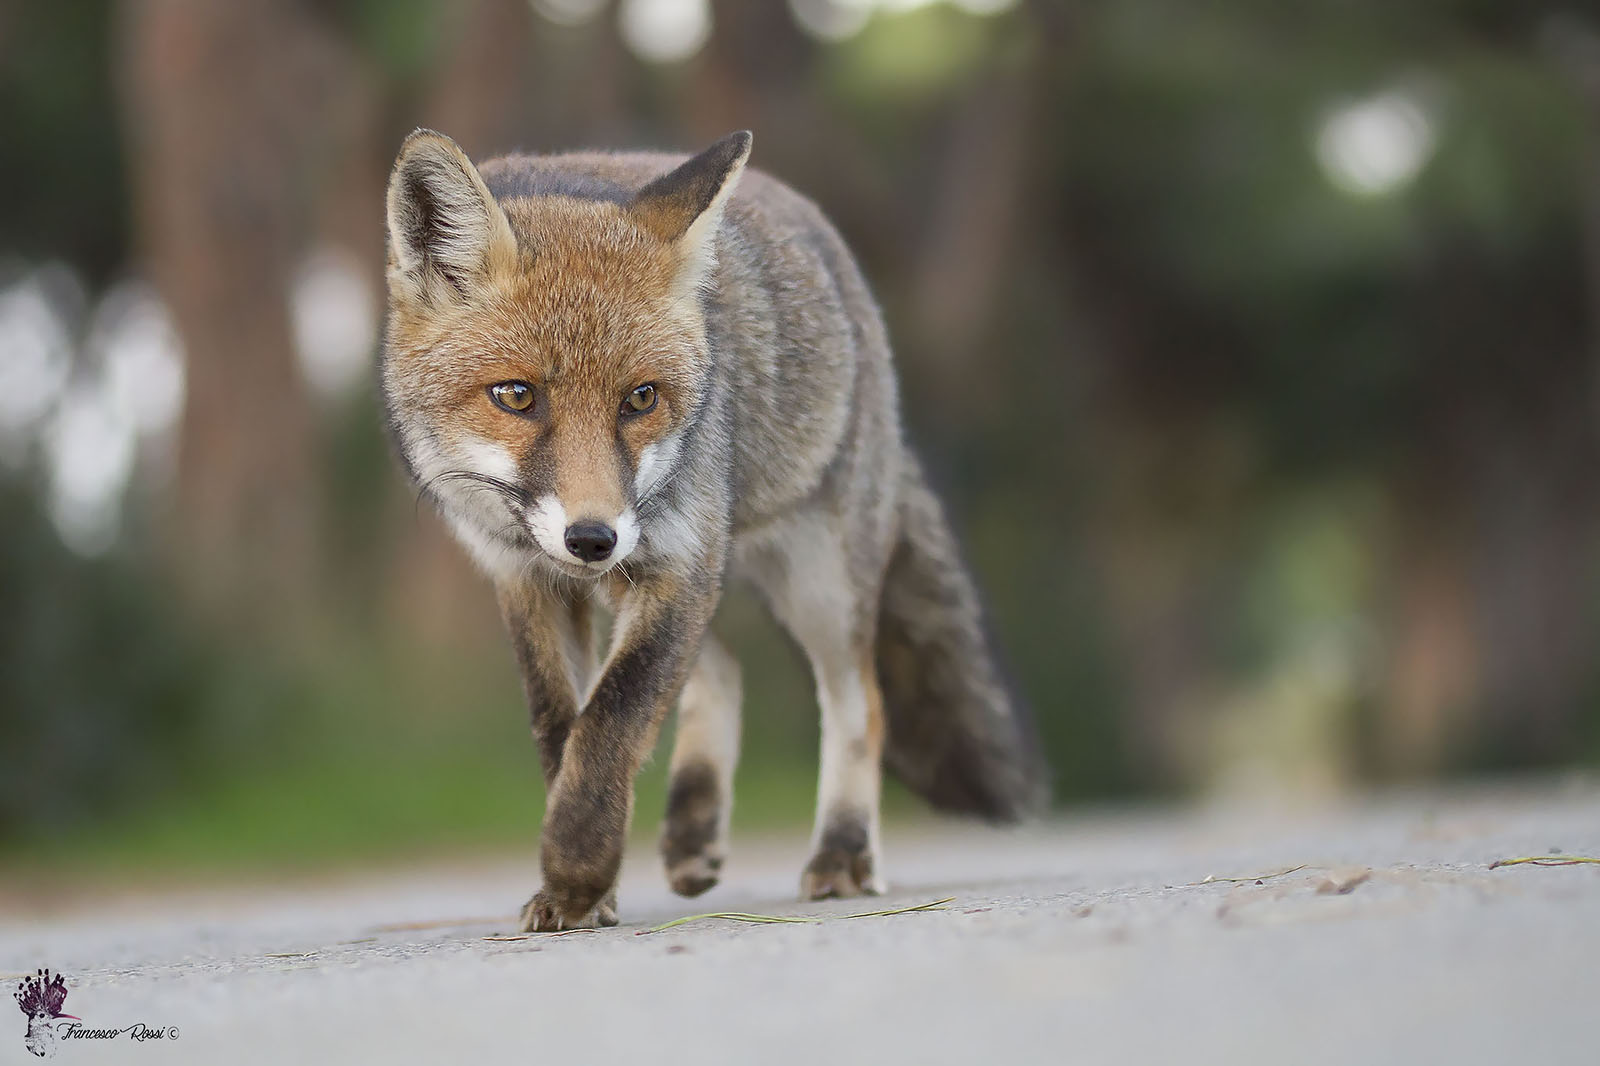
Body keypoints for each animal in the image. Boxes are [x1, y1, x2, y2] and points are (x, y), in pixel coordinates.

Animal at [381, 128, 1047, 931]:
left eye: (641, 399)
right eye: (515, 396)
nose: (593, 539)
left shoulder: (678, 559)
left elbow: (610, 720)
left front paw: (574, 873)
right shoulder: (528, 577)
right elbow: (563, 732)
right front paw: (591, 883)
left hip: (815, 583)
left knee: (859, 701)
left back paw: (844, 853)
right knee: (722, 671)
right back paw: (695, 826)